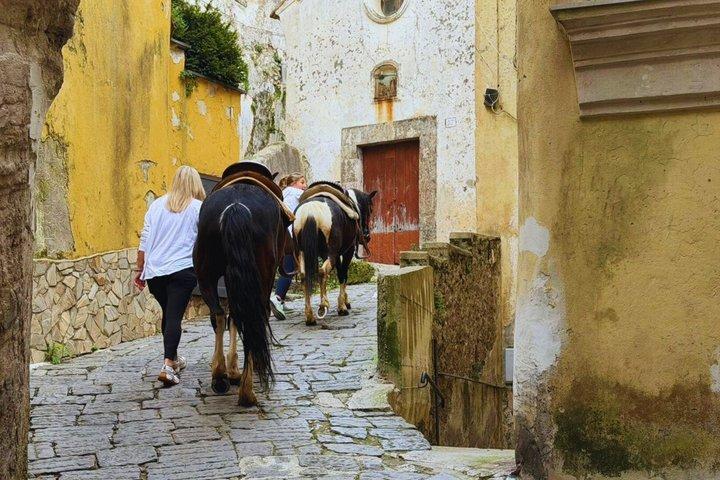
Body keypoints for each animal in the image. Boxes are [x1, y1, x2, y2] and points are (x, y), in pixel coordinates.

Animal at [193, 161, 291, 406]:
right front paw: (238, 370)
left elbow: (232, 317)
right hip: (262, 278)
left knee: (220, 315)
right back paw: (246, 390)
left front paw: (231, 370)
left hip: (206, 275)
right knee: (255, 317)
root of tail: (235, 206)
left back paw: (220, 375)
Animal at [293, 182, 376, 326]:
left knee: (305, 276)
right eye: (370, 209)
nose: (367, 236)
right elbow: (343, 275)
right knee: (322, 272)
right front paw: (342, 306)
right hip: (331, 253)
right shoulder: (347, 251)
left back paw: (310, 316)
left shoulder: (329, 255)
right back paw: (323, 305)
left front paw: (344, 302)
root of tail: (311, 211)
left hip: (302, 253)